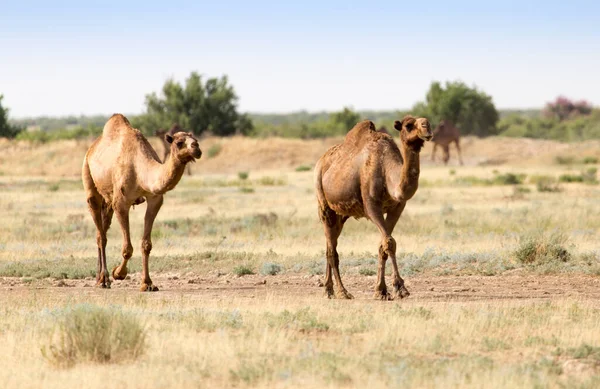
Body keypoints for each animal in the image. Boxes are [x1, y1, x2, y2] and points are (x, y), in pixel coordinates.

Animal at [83, 113, 203, 290]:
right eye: (179, 142)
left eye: (195, 139)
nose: (197, 148)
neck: (140, 170)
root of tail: (91, 149)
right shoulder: (121, 202)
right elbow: (127, 248)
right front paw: (118, 273)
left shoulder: (155, 199)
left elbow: (146, 245)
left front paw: (148, 283)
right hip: (89, 181)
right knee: (101, 235)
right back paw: (104, 279)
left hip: (108, 201)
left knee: (103, 228)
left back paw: (99, 278)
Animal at [314, 116, 432, 300]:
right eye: (408, 125)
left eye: (428, 121)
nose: (427, 129)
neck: (387, 172)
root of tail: (321, 161)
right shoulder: (371, 206)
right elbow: (389, 242)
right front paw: (399, 288)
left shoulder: (397, 207)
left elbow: (383, 245)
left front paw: (382, 290)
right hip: (323, 203)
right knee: (332, 250)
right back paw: (343, 292)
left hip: (340, 214)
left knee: (329, 244)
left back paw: (328, 290)